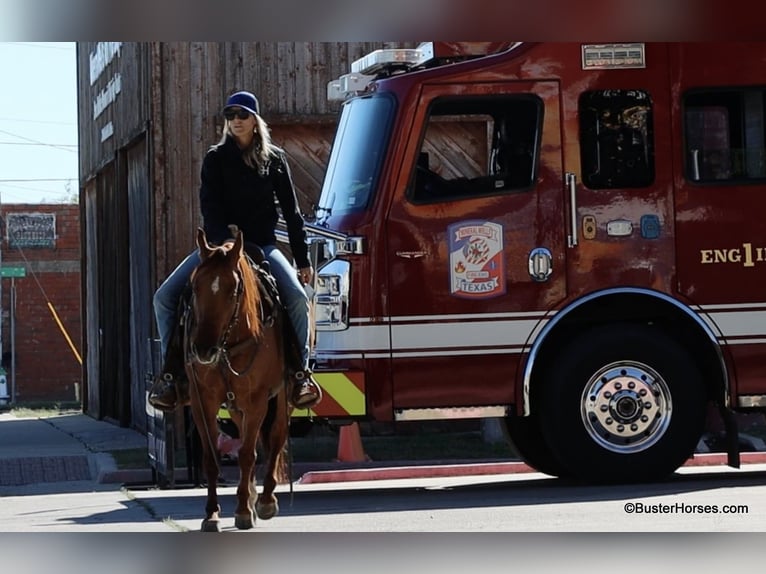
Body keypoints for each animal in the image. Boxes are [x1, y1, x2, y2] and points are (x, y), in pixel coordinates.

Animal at [186, 227, 292, 532]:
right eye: (194, 286)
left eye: (233, 289)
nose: (203, 350)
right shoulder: (203, 401)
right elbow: (211, 456)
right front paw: (211, 514)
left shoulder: (257, 401)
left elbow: (247, 454)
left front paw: (244, 510)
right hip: (235, 406)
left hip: (282, 396)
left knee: (276, 437)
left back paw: (265, 499)